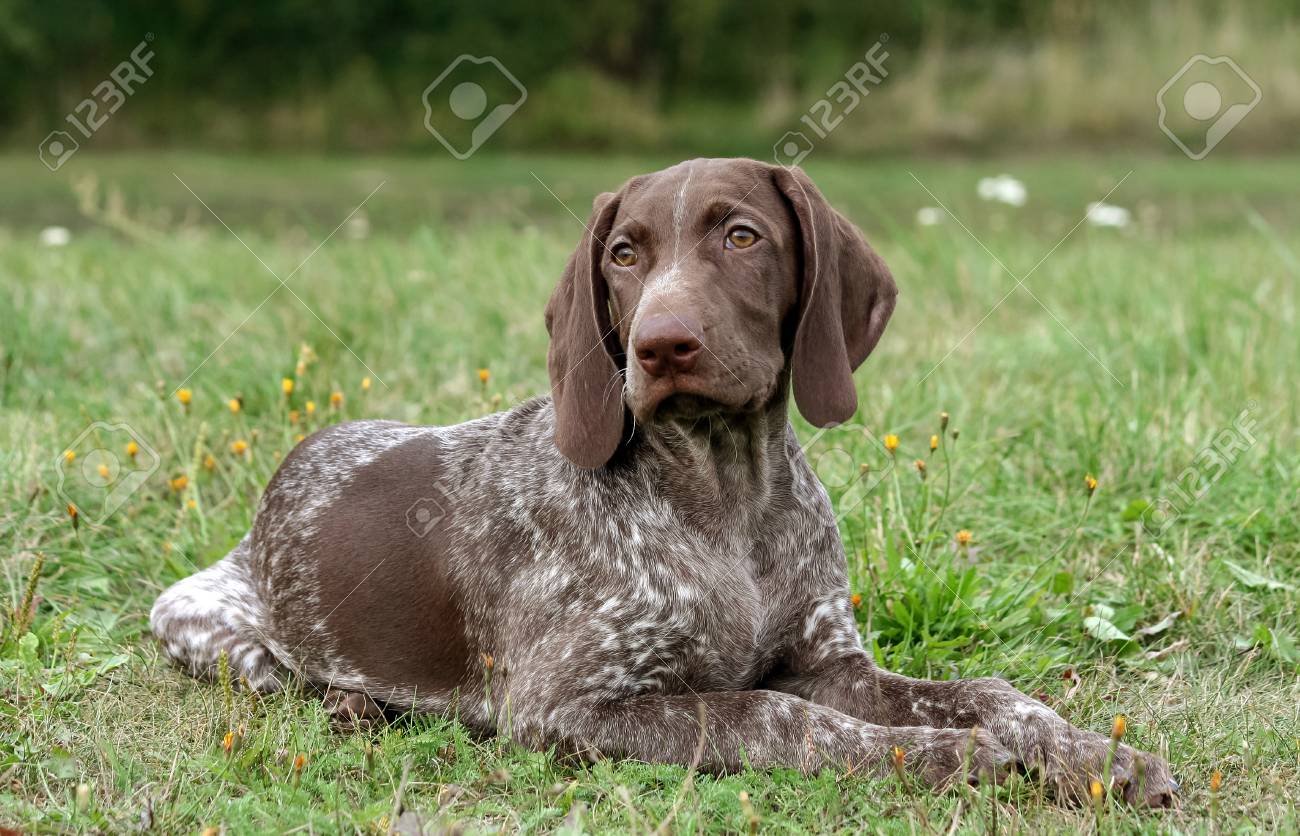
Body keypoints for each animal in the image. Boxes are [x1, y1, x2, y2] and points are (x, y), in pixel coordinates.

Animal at [152, 157, 1180, 806]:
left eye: (742, 236)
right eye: (623, 253)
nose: (660, 344)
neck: (726, 497)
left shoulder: (832, 662)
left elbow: (994, 690)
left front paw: (1093, 754)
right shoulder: (567, 707)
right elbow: (776, 716)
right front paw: (945, 756)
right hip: (196, 621)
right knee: (277, 673)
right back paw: (352, 701)